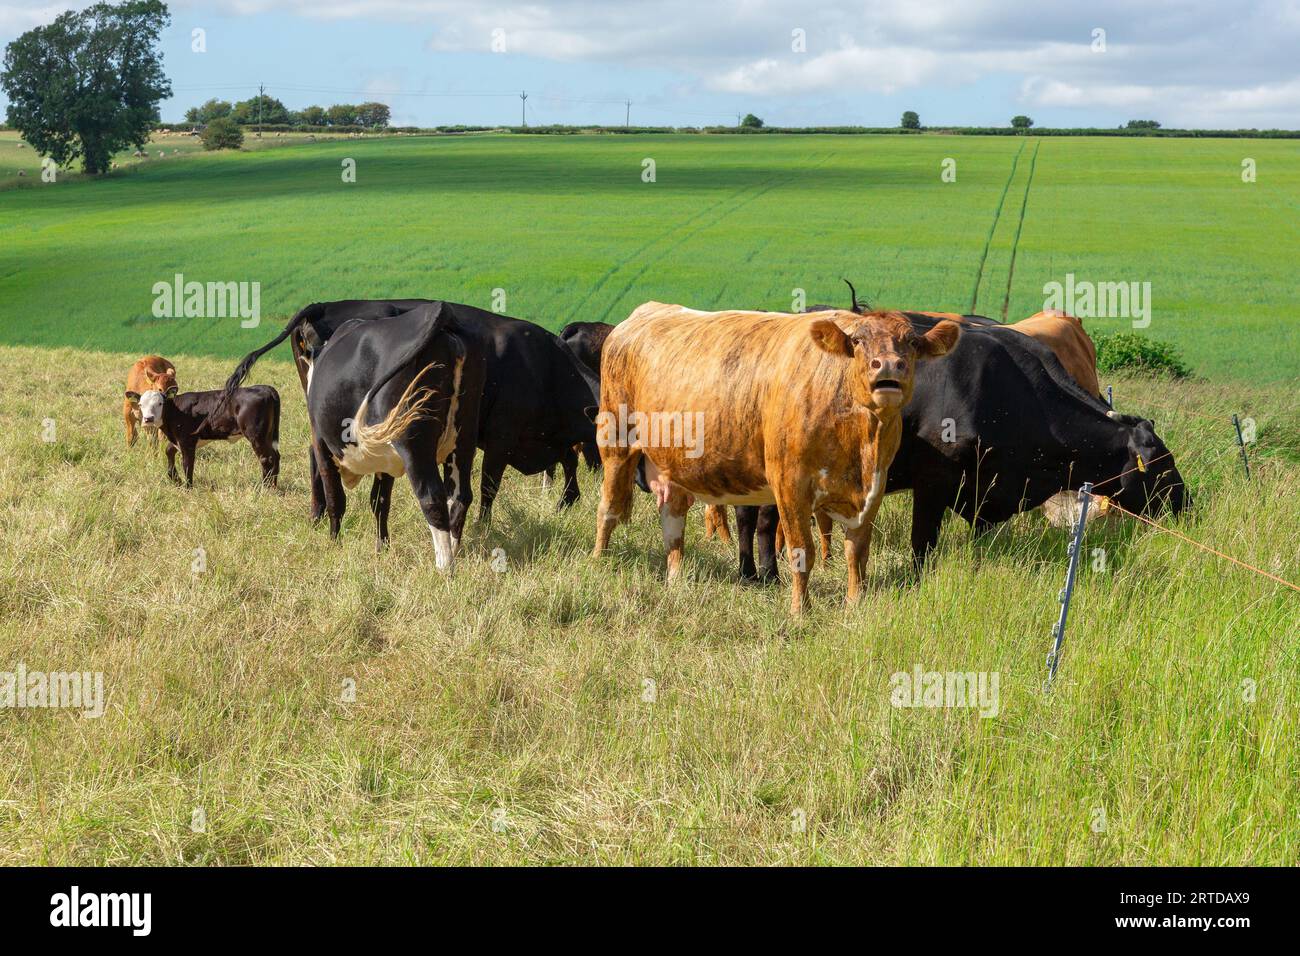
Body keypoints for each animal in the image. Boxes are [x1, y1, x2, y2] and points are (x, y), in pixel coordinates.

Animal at [126, 382, 279, 489]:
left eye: (160, 403)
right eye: (141, 404)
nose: (148, 419)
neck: (176, 411)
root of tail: (264, 388)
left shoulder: (187, 441)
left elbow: (187, 464)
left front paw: (188, 488)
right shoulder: (177, 439)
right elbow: (168, 451)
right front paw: (175, 479)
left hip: (256, 435)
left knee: (266, 458)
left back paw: (264, 488)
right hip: (268, 435)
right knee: (275, 456)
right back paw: (273, 486)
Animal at [306, 303, 486, 564]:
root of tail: (439, 310)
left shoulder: (321, 443)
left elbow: (335, 499)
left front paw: (334, 544)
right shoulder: (385, 460)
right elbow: (379, 502)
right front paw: (382, 547)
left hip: (414, 443)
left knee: (432, 497)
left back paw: (445, 566)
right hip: (463, 438)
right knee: (459, 497)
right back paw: (455, 553)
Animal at [738, 314, 1185, 582]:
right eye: (1161, 466)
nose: (1187, 502)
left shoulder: (988, 490)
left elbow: (979, 541)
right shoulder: (933, 482)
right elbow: (922, 542)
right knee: (757, 518)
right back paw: (759, 575)